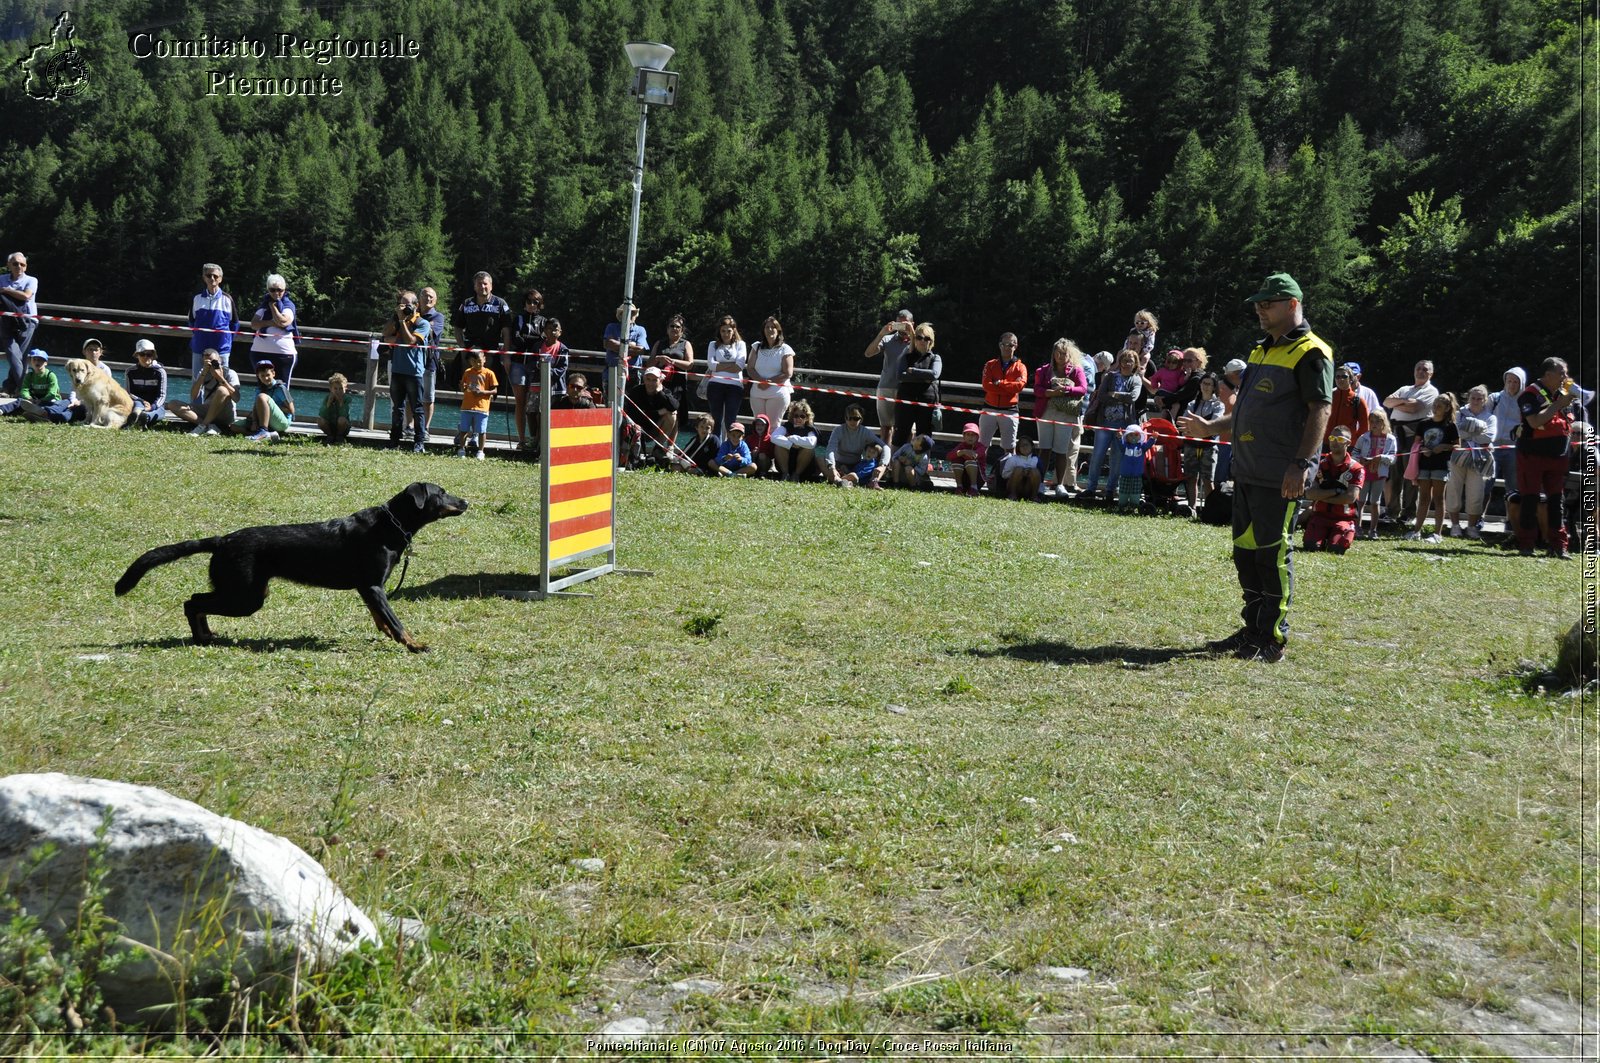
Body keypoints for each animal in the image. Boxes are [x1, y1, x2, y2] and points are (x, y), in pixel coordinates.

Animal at [116, 483, 467, 653]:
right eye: (441, 493)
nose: (465, 502)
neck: (390, 525)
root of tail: (222, 540)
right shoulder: (372, 586)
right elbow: (396, 620)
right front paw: (415, 645)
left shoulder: (368, 590)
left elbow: (381, 618)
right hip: (246, 597)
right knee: (192, 602)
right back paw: (201, 637)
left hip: (245, 593)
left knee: (197, 602)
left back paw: (206, 635)